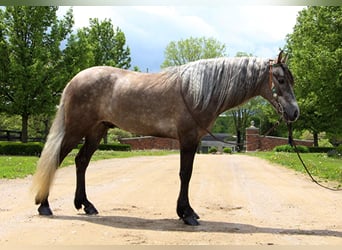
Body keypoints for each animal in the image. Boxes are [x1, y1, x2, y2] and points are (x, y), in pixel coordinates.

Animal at [32, 50, 300, 225]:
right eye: (281, 79)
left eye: (291, 80)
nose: (294, 113)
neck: (198, 91)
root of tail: (74, 80)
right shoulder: (188, 138)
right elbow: (185, 174)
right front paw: (187, 214)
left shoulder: (194, 139)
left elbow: (186, 174)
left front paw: (186, 212)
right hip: (76, 130)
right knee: (56, 160)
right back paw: (44, 206)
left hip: (97, 131)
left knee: (81, 162)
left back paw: (86, 205)